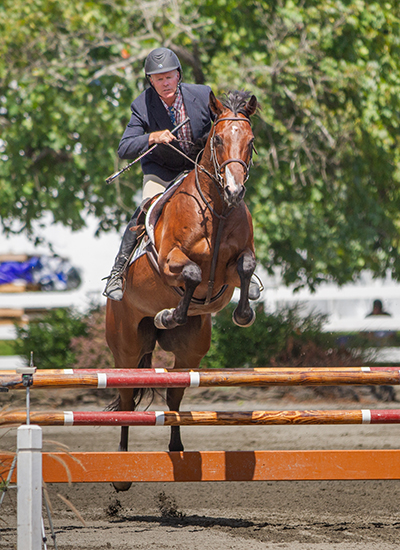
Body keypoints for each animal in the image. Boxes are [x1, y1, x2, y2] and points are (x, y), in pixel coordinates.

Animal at [104, 89, 258, 492]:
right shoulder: (170, 260)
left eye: (251, 142)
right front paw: (170, 312)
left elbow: (246, 268)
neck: (217, 208)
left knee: (174, 394)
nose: (235, 190)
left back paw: (176, 449)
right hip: (126, 348)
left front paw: (244, 313)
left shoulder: (232, 269)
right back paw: (120, 471)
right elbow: (189, 272)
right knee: (126, 399)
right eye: (217, 140)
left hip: (191, 351)